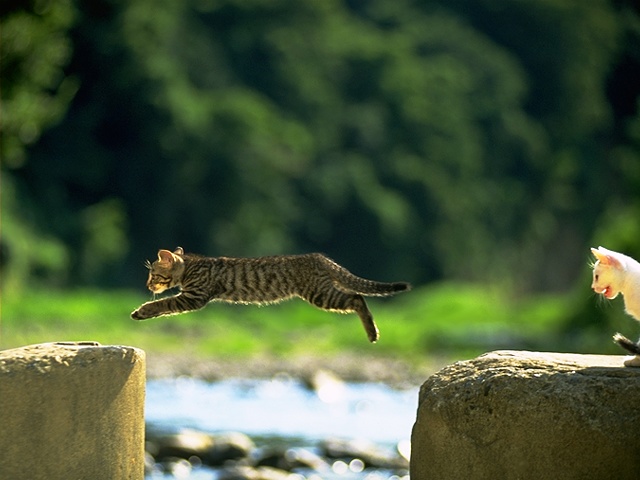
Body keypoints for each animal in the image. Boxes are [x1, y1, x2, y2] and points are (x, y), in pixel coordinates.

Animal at [131, 248, 410, 342]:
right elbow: (166, 304)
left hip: (320, 294)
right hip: (324, 290)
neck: (190, 266)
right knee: (357, 296)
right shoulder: (190, 297)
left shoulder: (193, 297)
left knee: (357, 298)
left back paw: (372, 333)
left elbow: (164, 304)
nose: (146, 284)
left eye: (153, 274)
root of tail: (321, 258)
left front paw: (142, 310)